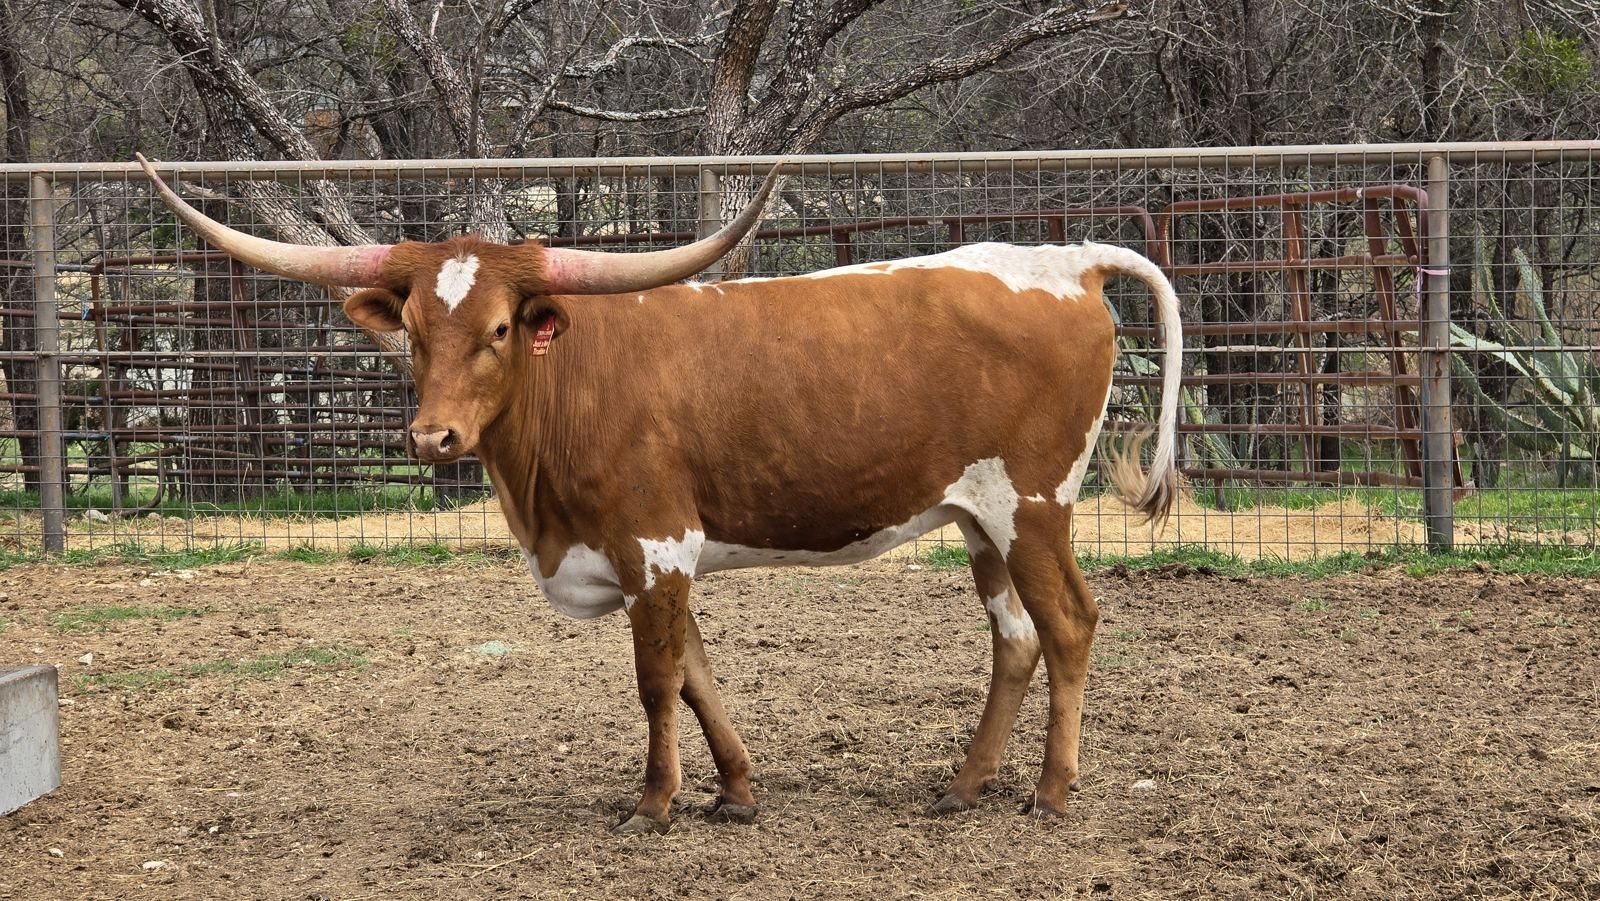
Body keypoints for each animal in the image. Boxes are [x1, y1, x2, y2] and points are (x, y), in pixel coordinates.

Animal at [136, 154, 1181, 834]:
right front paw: (737, 792)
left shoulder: (655, 545)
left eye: (502, 327)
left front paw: (654, 802)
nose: (433, 437)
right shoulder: (662, 558)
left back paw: (1051, 793)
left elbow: (655, 680)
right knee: (1013, 637)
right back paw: (966, 784)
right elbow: (696, 672)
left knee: (1069, 625)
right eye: (418, 330)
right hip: (978, 518)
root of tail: (1067, 262)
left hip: (1033, 506)